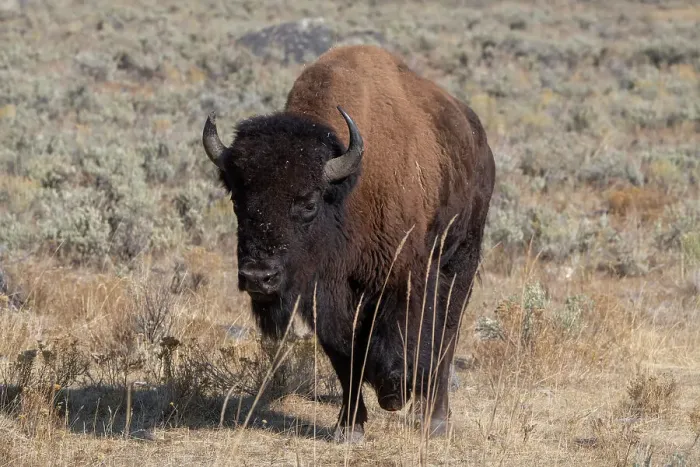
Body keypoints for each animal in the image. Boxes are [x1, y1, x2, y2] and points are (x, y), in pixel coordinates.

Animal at [202, 44, 495, 442]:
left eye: (308, 203)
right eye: (236, 200)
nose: (258, 277)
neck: (347, 189)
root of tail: (479, 141)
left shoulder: (406, 275)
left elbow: (407, 337)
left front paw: (394, 393)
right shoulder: (325, 294)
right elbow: (345, 354)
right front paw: (349, 426)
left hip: (462, 256)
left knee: (447, 334)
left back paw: (434, 421)